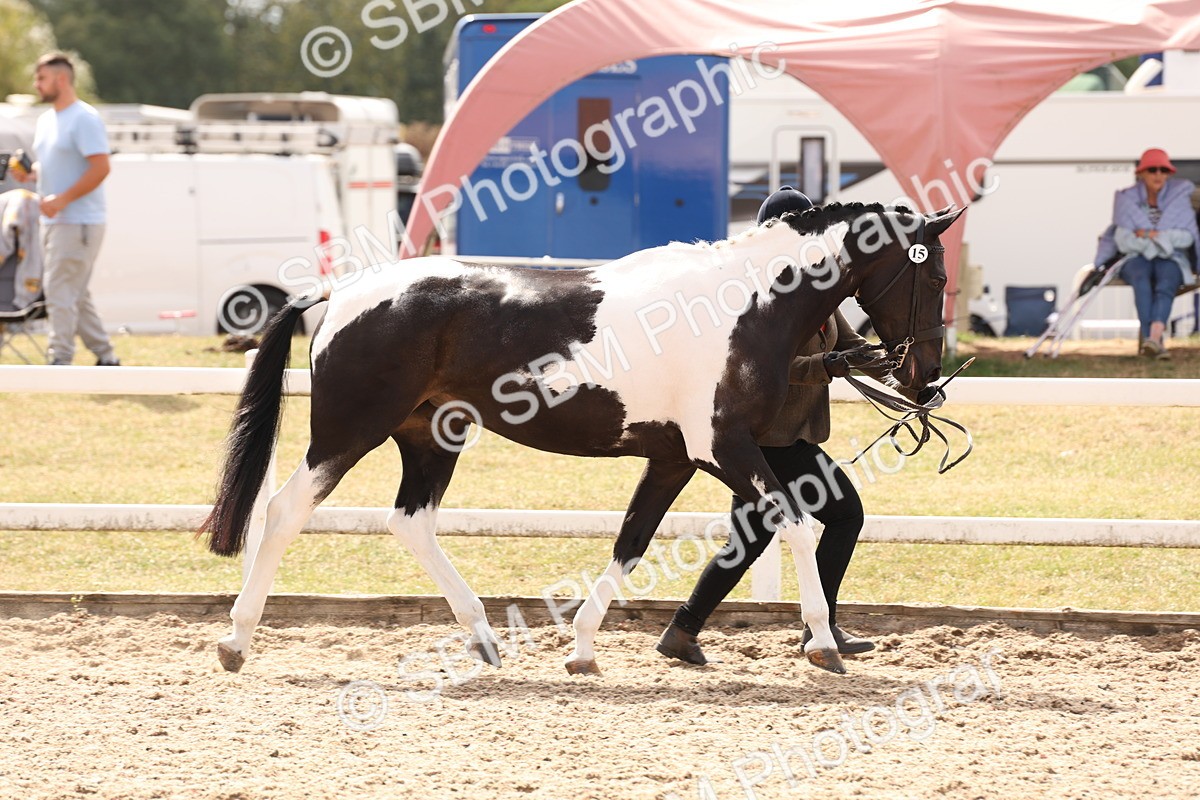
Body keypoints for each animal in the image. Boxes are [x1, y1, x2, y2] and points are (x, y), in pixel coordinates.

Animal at [201, 201, 964, 676]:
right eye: (932, 272)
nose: (925, 375)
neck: (740, 306)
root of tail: (338, 294)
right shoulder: (724, 449)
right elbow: (799, 525)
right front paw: (823, 646)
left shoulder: (673, 459)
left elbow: (632, 542)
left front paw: (582, 650)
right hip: (347, 432)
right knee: (284, 512)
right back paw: (236, 641)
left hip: (429, 437)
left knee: (411, 522)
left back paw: (484, 639)